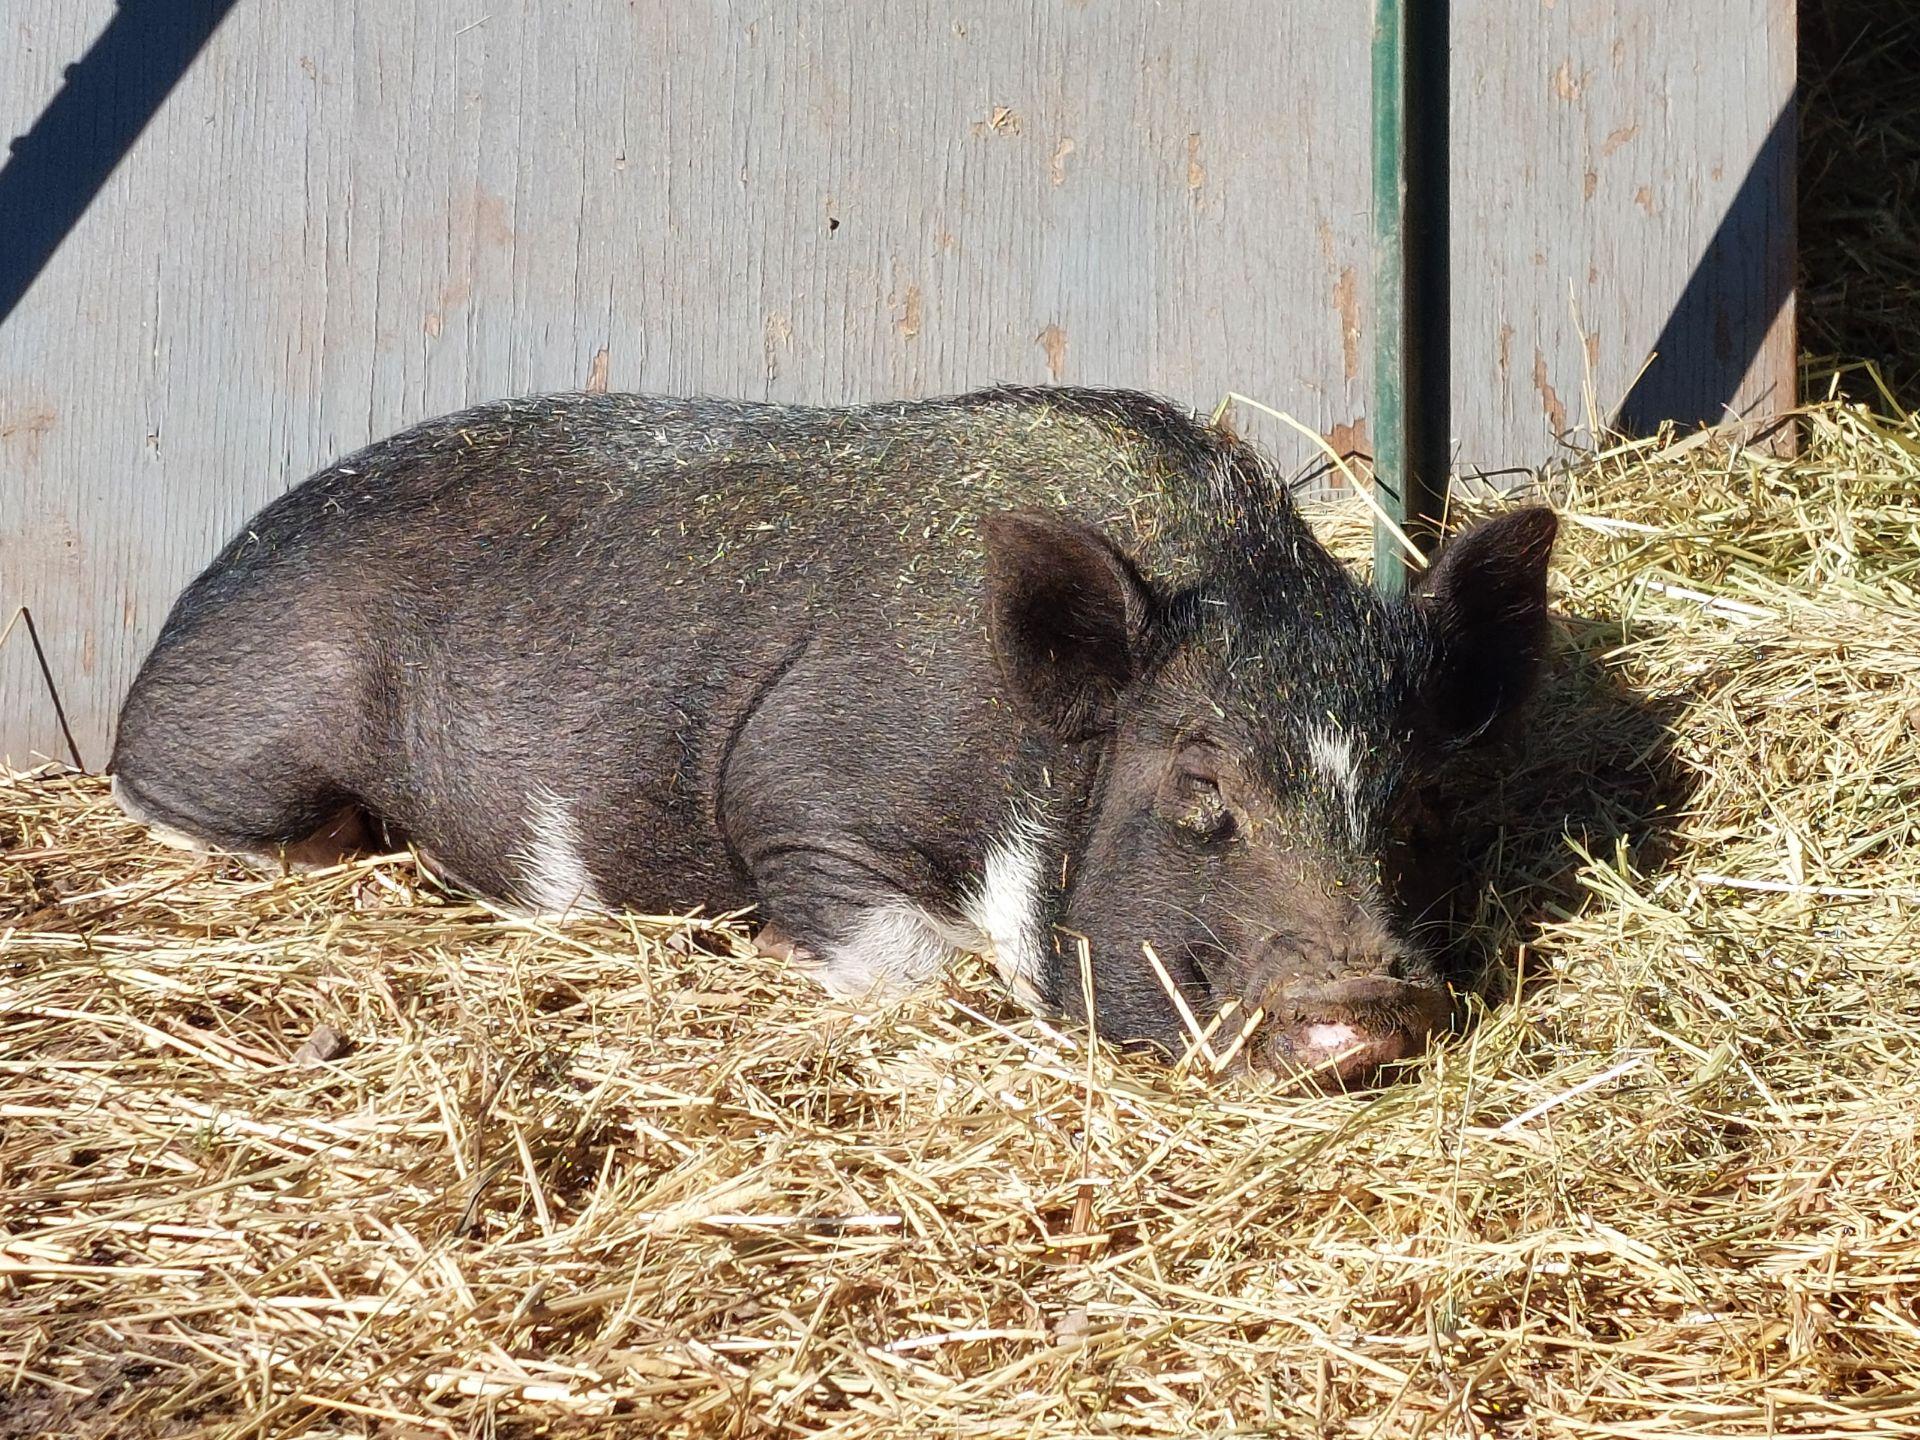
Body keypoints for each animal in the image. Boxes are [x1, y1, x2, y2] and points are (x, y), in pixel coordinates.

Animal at [108, 386, 1556, 1086]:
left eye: (1418, 801)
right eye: (1201, 784)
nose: (1372, 999)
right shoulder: (801, 794)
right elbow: (907, 956)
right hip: (252, 747)